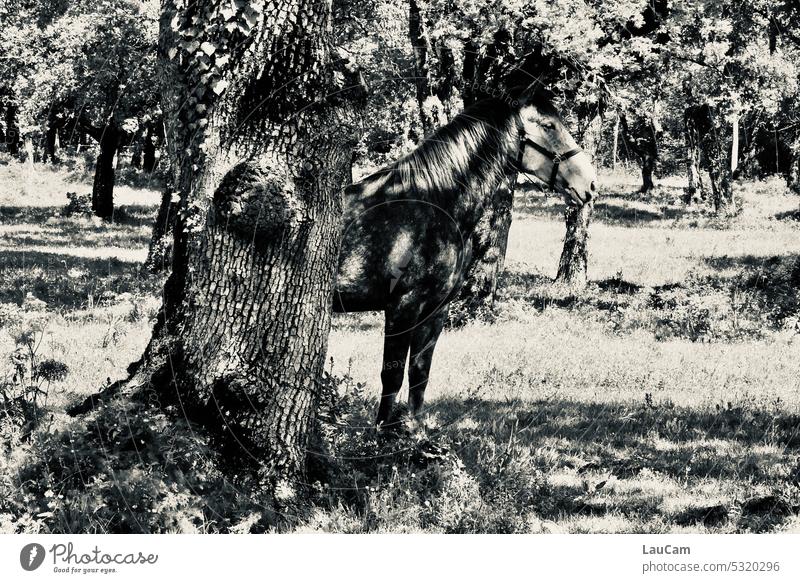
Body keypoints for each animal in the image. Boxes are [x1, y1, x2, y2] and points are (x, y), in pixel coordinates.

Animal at [330, 92, 592, 428]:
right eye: (548, 125)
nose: (589, 183)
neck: (434, 202)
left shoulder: (435, 309)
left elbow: (419, 374)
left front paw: (416, 432)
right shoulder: (402, 308)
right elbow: (392, 377)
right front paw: (380, 434)